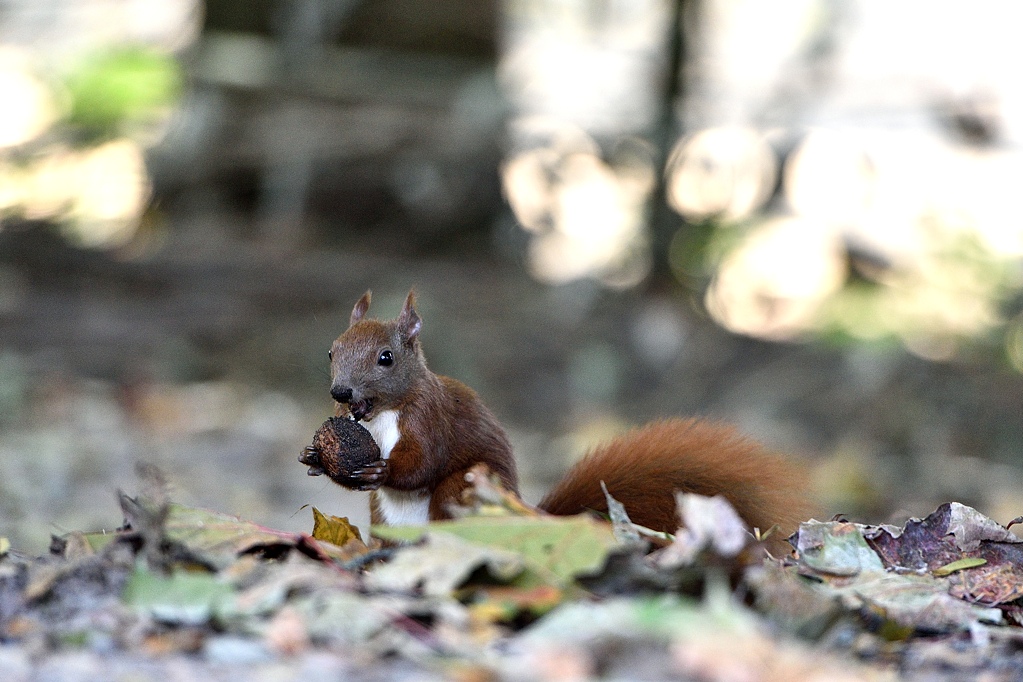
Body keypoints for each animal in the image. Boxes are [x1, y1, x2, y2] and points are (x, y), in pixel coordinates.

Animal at [299, 289, 812, 540]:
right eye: (330, 351)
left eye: (386, 358)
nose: (341, 391)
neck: (382, 414)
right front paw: (315, 456)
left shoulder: (430, 419)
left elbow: (422, 462)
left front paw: (380, 468)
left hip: (462, 492)